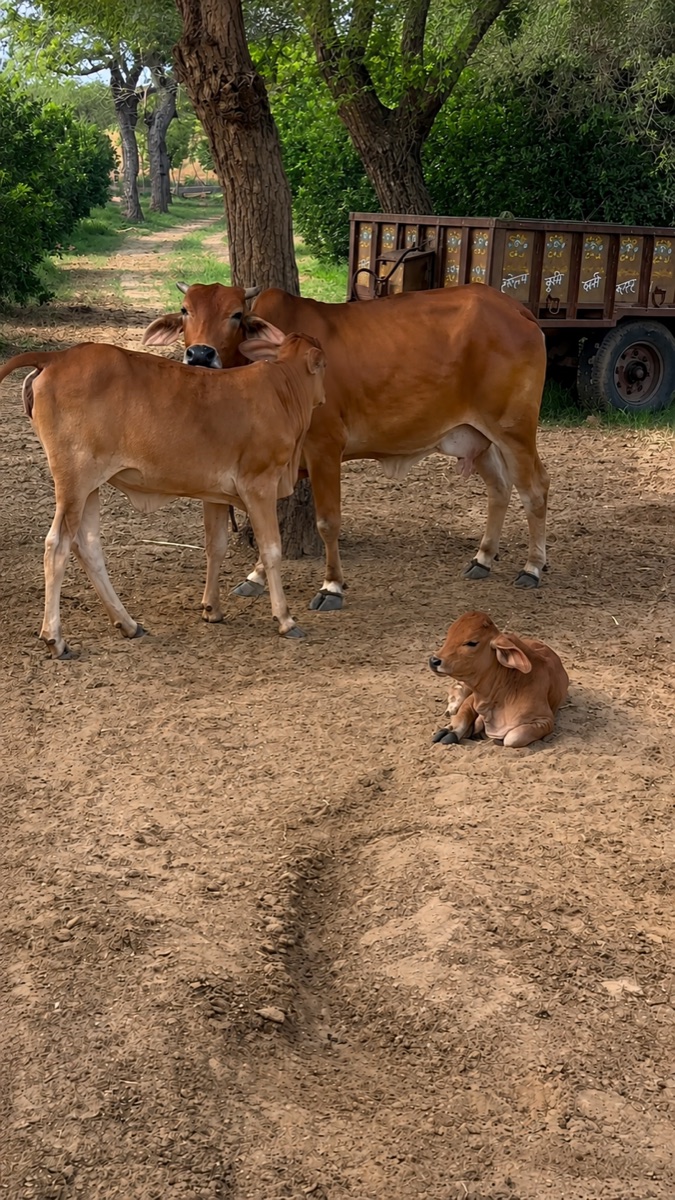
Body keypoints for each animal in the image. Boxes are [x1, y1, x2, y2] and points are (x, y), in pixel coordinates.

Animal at [0, 321, 326, 657]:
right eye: (324, 364)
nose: (324, 396)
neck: (283, 389)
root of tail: (56, 356)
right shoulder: (260, 485)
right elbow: (271, 549)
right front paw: (285, 618)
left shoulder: (216, 495)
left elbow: (216, 546)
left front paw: (212, 609)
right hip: (73, 480)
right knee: (57, 545)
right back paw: (55, 637)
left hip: (90, 485)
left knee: (87, 545)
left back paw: (128, 624)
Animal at [142, 282, 550, 612]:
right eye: (185, 310)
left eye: (236, 314)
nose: (200, 354)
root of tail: (515, 308)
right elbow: (267, 525)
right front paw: (255, 577)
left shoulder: (325, 448)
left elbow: (327, 521)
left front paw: (332, 586)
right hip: (476, 435)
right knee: (500, 488)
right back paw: (483, 558)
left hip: (513, 429)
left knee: (535, 488)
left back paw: (532, 567)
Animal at [428, 610, 568, 748]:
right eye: (449, 635)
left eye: (472, 642)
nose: (434, 660)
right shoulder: (474, 698)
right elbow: (462, 714)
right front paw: (450, 730)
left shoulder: (546, 720)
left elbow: (513, 737)